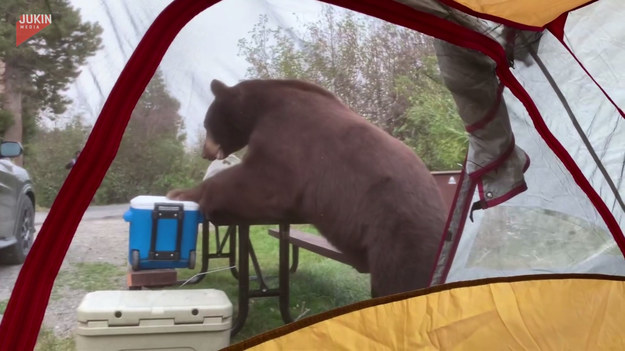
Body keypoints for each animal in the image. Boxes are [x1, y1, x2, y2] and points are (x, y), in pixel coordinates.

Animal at [168, 78, 446, 298]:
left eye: (206, 124)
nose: (205, 152)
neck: (261, 107)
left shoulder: (289, 141)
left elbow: (262, 183)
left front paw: (180, 192)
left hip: (400, 239)